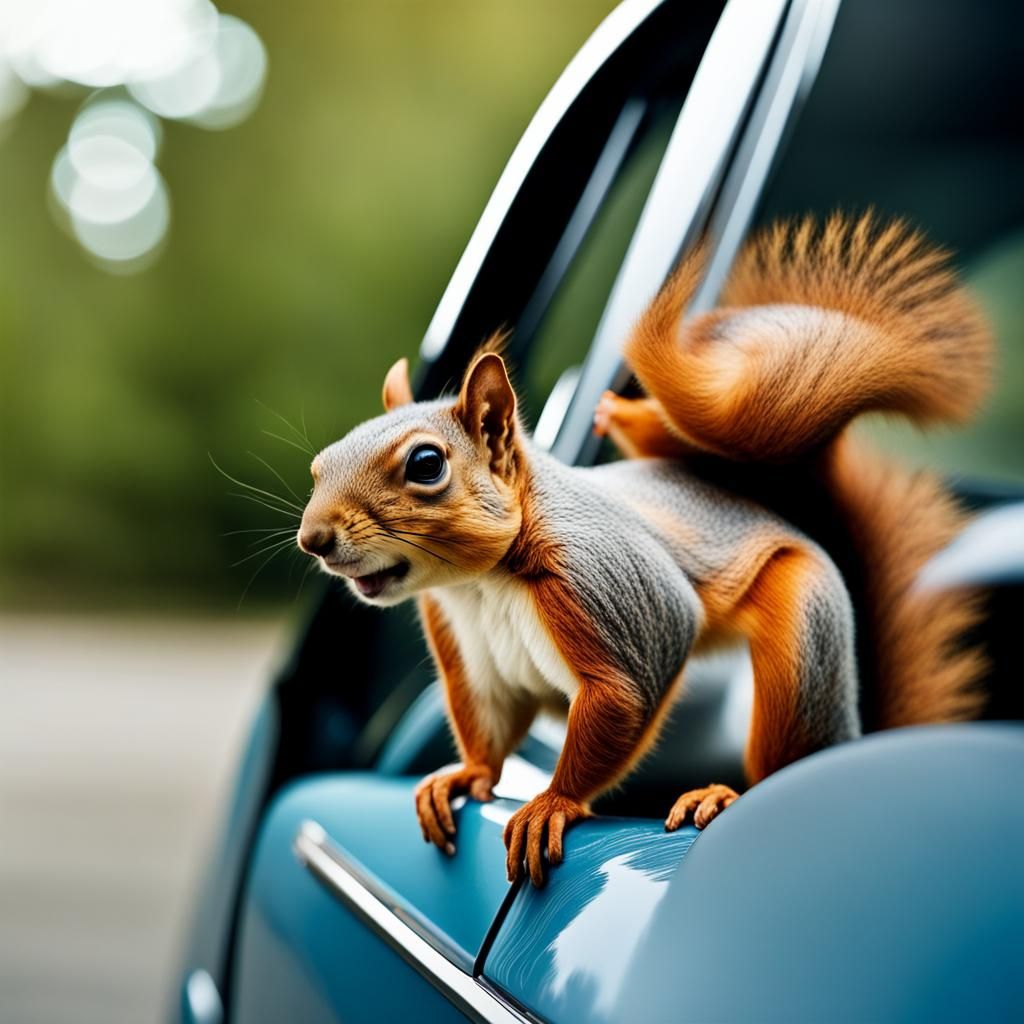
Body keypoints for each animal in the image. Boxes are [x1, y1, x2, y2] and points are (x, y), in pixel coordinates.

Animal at [297, 212, 992, 888]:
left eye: (426, 464)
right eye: (320, 465)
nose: (314, 539)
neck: (483, 583)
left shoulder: (601, 580)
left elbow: (627, 689)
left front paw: (552, 804)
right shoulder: (469, 646)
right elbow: (488, 720)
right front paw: (466, 777)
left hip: (803, 638)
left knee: (787, 754)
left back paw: (722, 796)